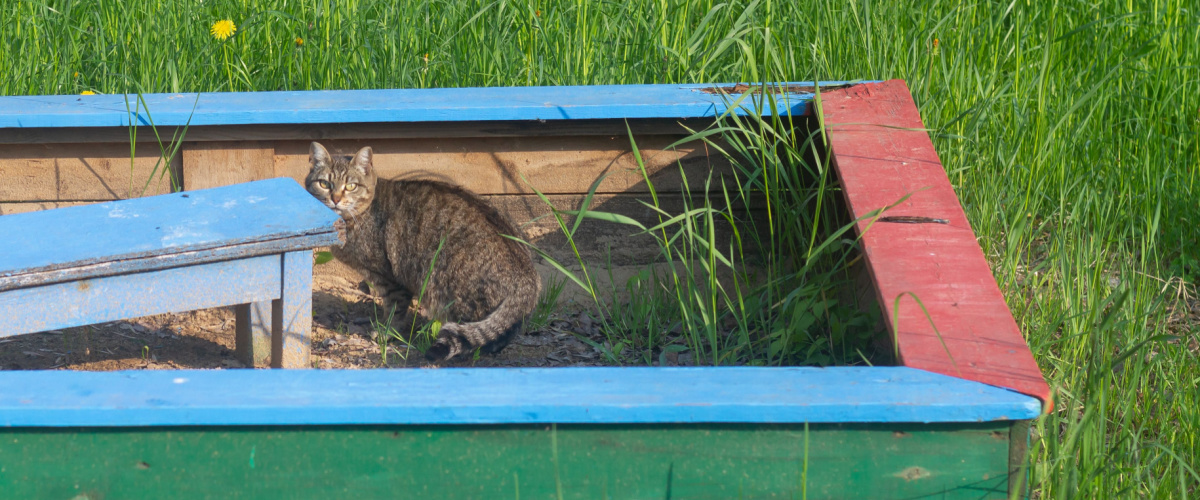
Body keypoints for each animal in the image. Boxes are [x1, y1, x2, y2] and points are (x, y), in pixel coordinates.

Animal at [304, 142, 544, 359]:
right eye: (324, 183)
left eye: (351, 186)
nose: (335, 199)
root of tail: (528, 276)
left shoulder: (389, 278)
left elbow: (394, 309)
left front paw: (386, 333)